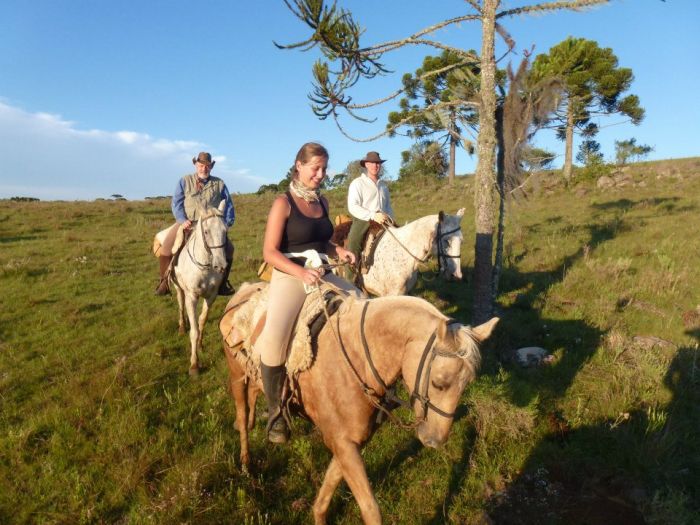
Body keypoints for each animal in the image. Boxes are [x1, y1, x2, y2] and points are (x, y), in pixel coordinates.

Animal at [170, 199, 227, 374]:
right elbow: (194, 331)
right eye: (206, 232)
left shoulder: (211, 296)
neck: (205, 267)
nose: (221, 266)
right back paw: (182, 326)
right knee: (181, 304)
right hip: (179, 288)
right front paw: (194, 364)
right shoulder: (193, 296)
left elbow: (202, 320)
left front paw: (201, 345)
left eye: (225, 231)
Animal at [221, 290, 494, 524]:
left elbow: (329, 487)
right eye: (439, 383)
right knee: (242, 415)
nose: (434, 441)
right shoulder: (342, 443)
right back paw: (246, 462)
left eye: (466, 384)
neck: (357, 360)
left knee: (256, 393)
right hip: (236, 376)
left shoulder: (350, 441)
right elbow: (371, 509)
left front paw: (318, 515)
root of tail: (242, 293)